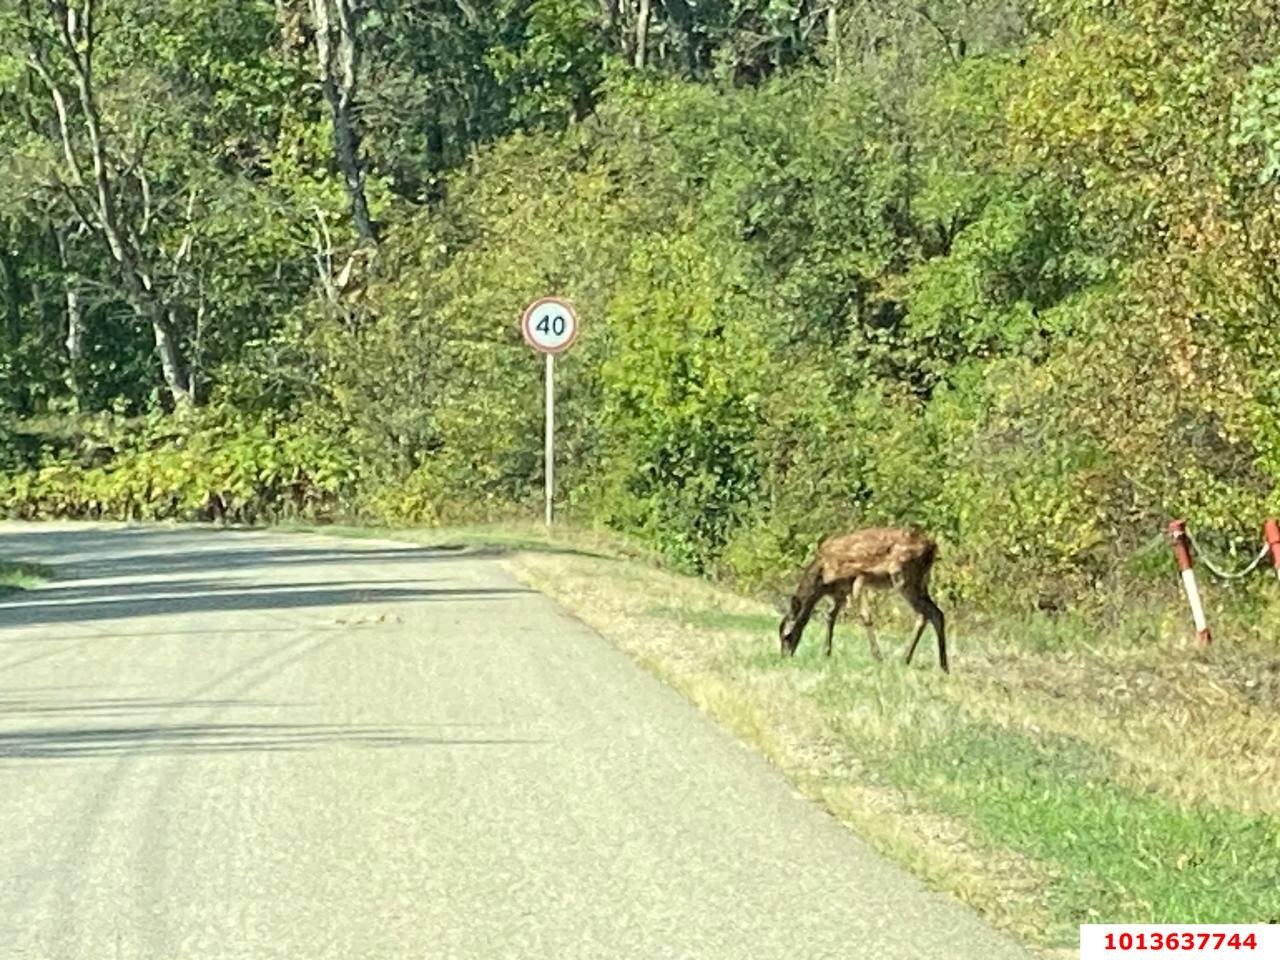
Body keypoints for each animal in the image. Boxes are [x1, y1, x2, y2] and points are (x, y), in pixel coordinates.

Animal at [773, 527, 947, 675]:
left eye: (787, 636)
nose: (785, 657)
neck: (822, 579)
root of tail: (932, 546)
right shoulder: (840, 593)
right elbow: (830, 616)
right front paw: (826, 652)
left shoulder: (858, 577)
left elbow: (865, 616)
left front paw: (878, 657)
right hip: (921, 581)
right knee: (933, 613)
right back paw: (939, 665)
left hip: (903, 576)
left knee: (927, 613)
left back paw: (910, 660)